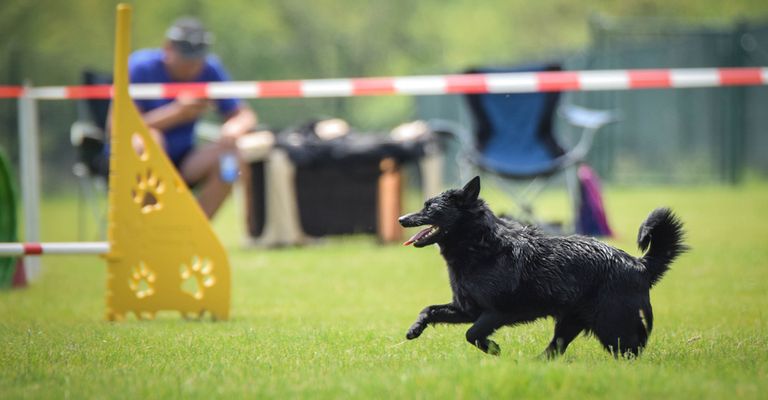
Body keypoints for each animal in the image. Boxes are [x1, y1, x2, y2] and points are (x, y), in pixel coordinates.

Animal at [400, 177, 688, 358]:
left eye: (430, 208)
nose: (401, 219)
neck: (479, 245)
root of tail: (638, 265)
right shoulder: (467, 309)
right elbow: (429, 310)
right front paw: (414, 329)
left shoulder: (496, 312)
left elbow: (472, 334)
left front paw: (493, 349)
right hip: (571, 322)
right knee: (556, 349)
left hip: (611, 324)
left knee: (631, 350)